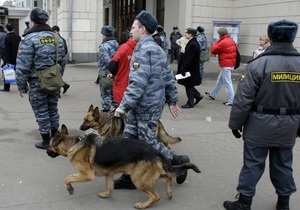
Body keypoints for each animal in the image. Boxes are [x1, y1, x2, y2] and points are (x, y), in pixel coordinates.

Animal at [47, 124, 200, 208]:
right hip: (146, 176)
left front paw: (70, 189)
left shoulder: (87, 175)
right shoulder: (108, 174)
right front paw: (106, 195)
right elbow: (109, 187)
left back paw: (143, 205)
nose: (47, 152)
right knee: (167, 177)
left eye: (49, 144)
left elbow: (67, 178)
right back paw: (169, 193)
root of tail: (155, 151)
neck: (73, 143)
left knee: (155, 196)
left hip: (138, 179)